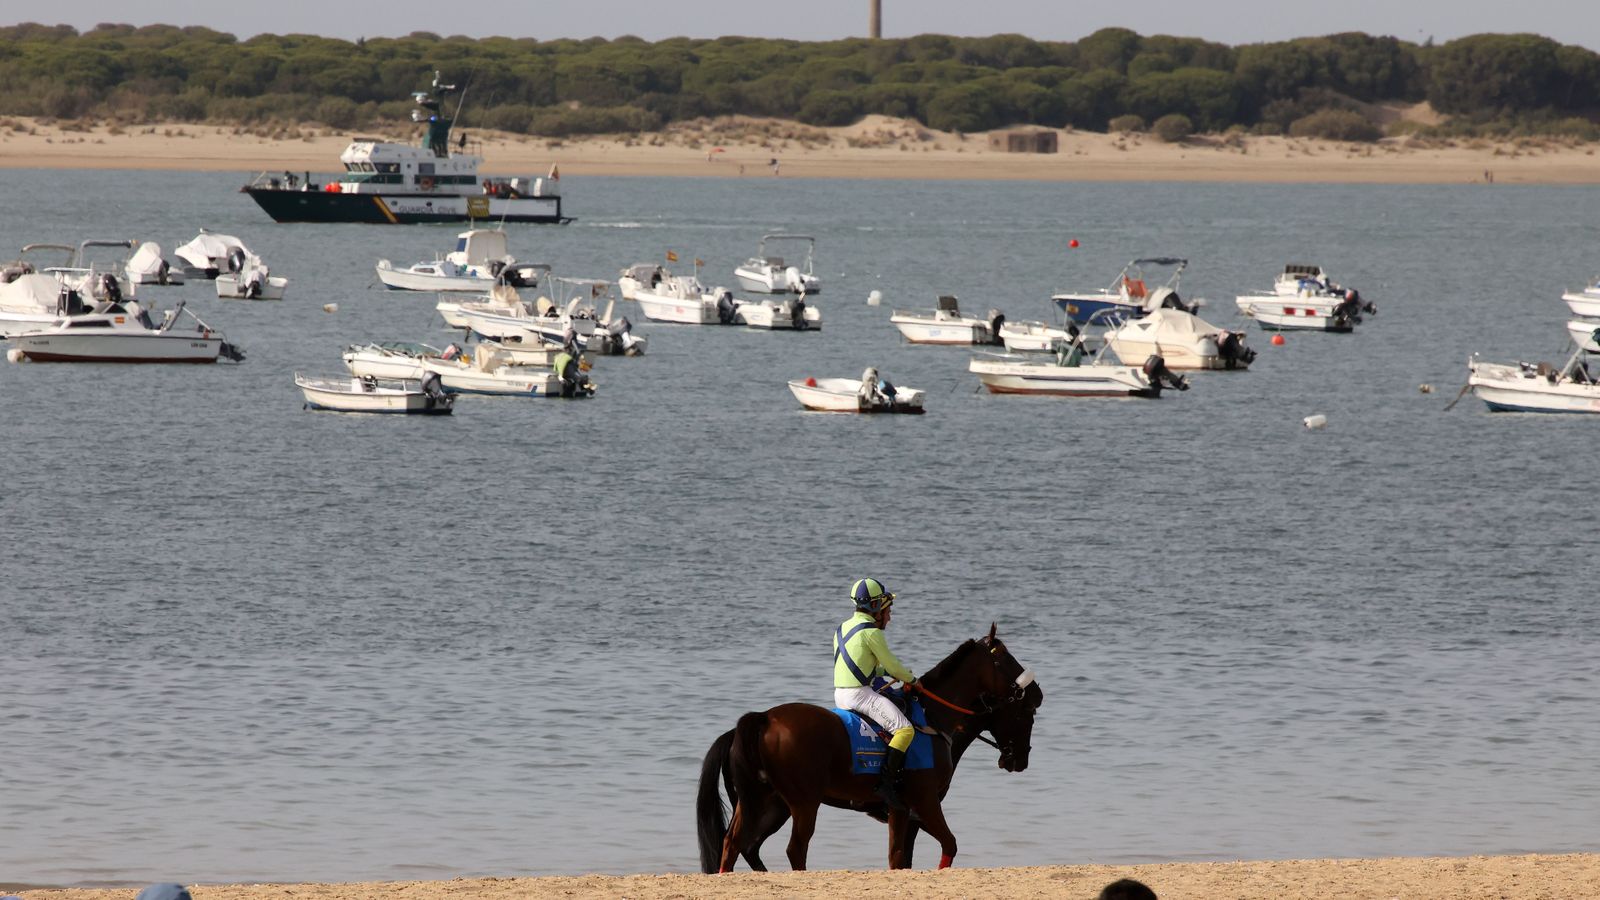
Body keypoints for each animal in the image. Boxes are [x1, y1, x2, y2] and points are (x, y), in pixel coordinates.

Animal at [697, 623, 1042, 872]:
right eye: (1026, 713)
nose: (1037, 692)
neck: (932, 718)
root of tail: (763, 718)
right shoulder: (925, 804)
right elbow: (948, 845)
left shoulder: (902, 813)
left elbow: (899, 858)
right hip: (802, 803)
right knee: (793, 849)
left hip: (763, 803)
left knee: (734, 844)